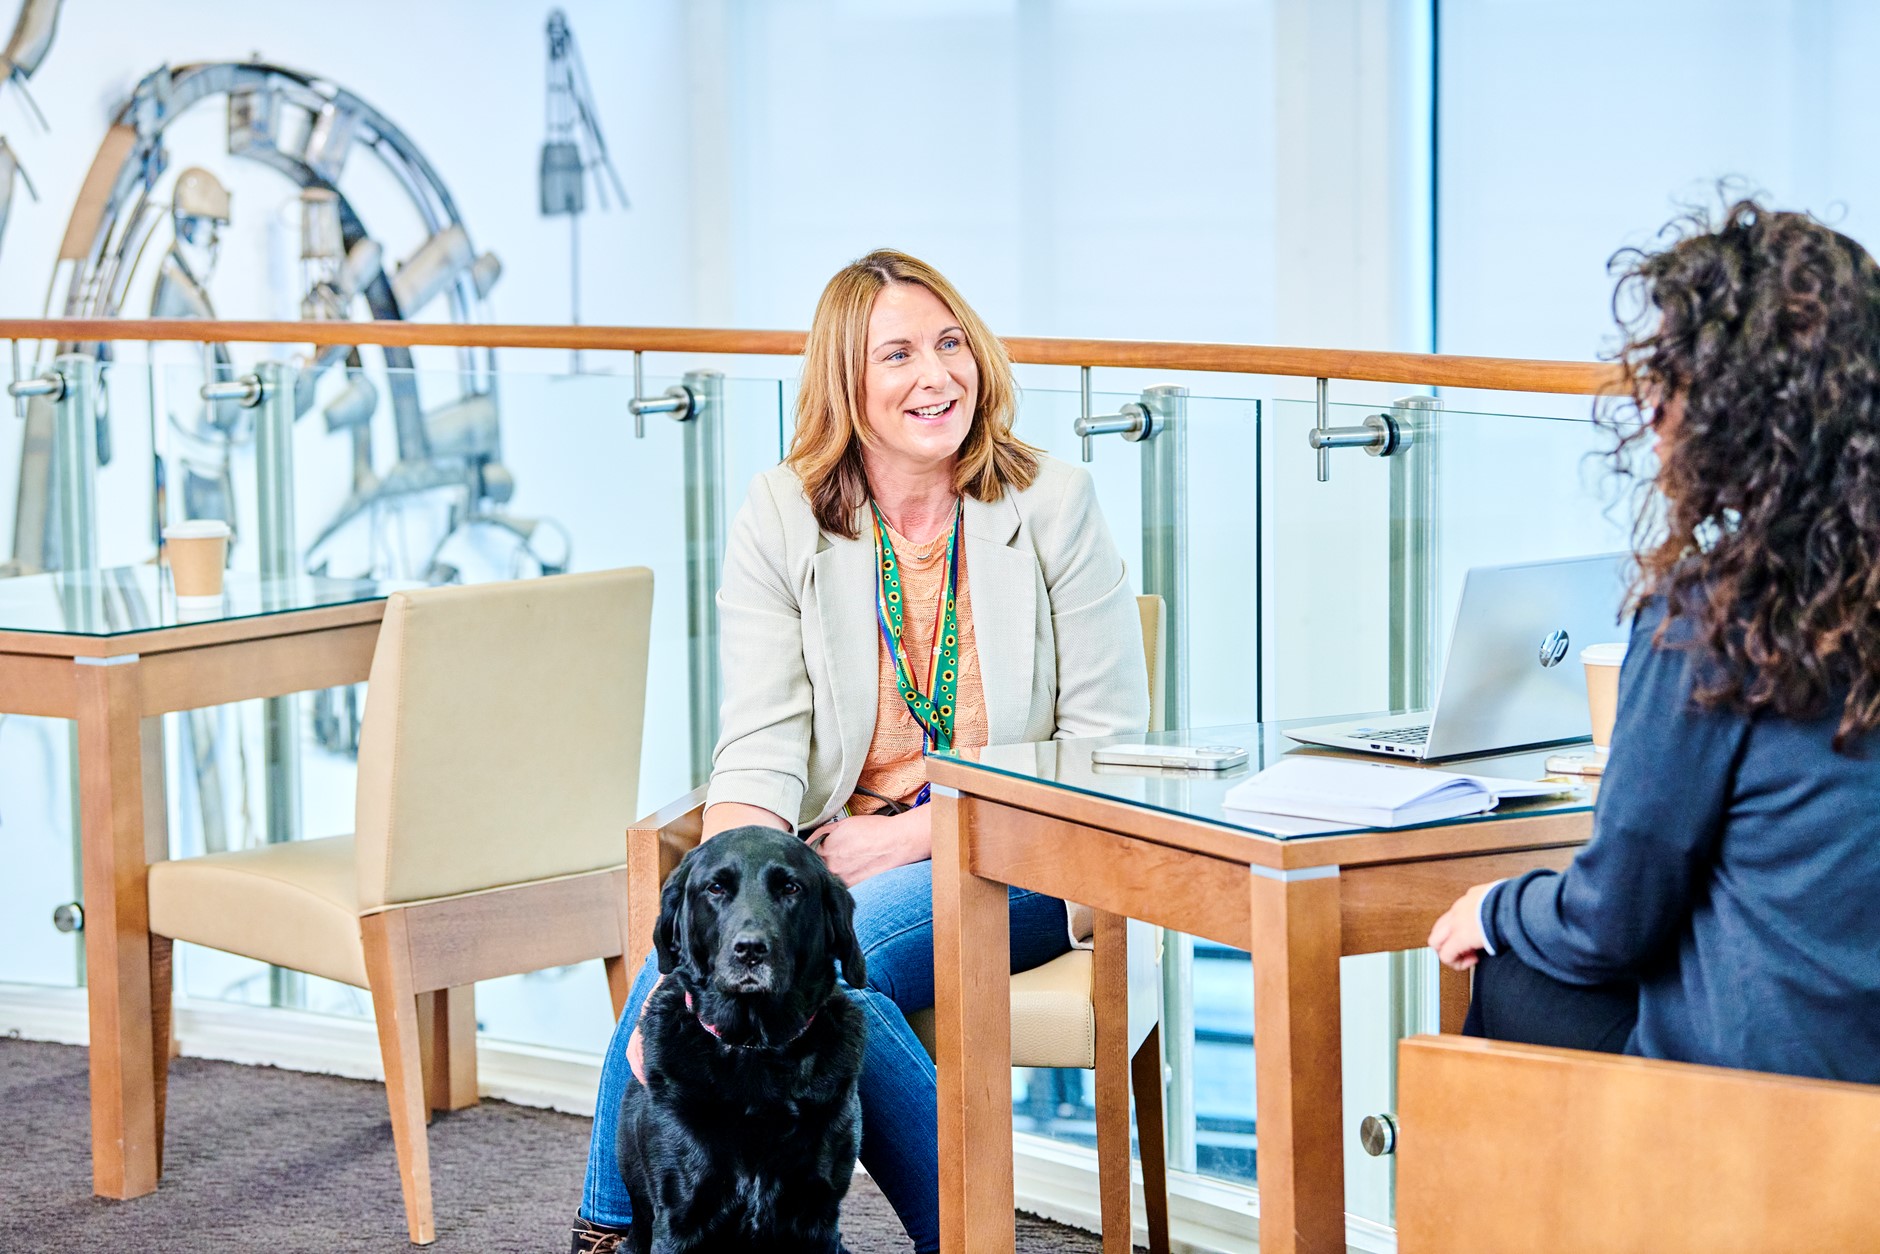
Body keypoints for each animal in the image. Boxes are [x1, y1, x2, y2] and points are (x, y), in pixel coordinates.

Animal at [624, 827, 872, 1248]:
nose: (751, 950)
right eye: (716, 888)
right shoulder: (680, 1215)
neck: (754, 1046)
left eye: (791, 888)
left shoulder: (819, 1215)